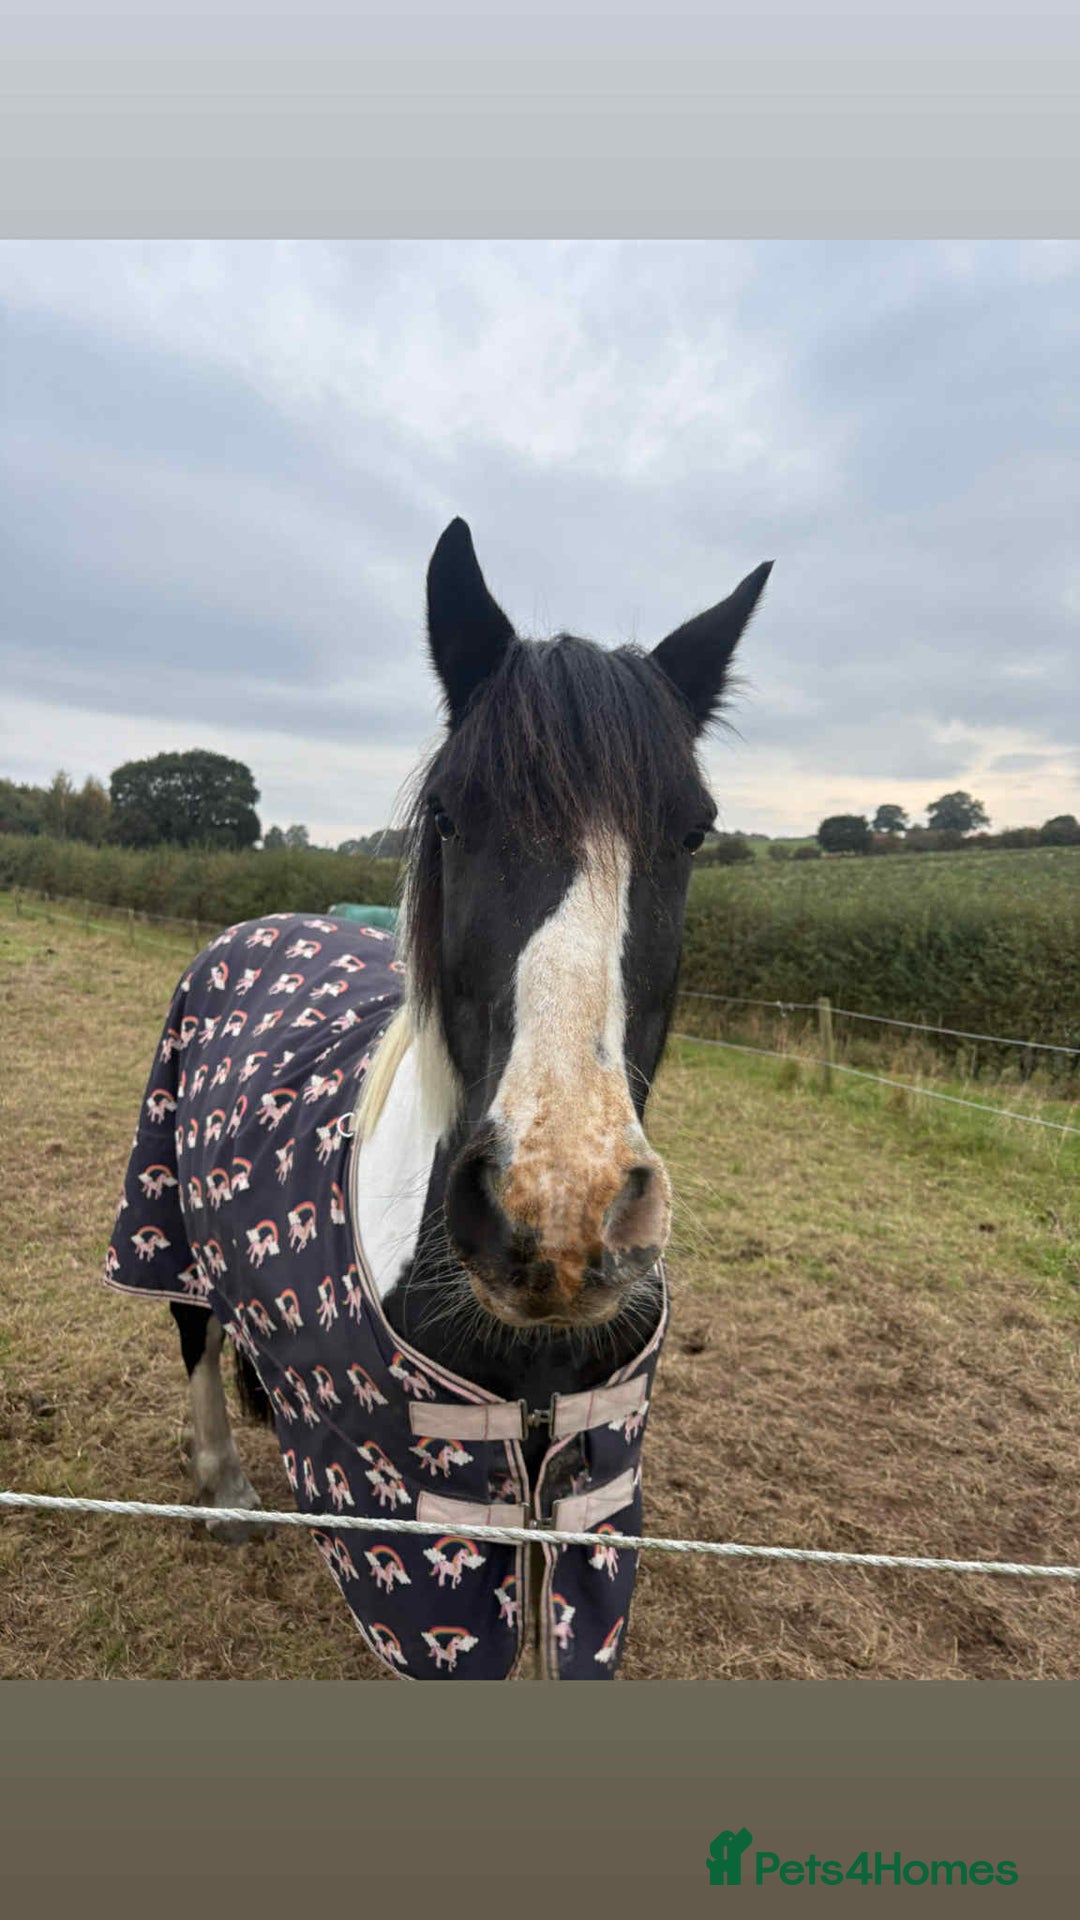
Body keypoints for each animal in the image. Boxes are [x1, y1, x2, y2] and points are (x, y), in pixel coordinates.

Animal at [104, 520, 772, 1678]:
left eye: (693, 832)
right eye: (452, 817)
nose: (559, 1216)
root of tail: (260, 922)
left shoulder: (586, 1505)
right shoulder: (431, 1549)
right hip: (168, 1226)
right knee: (196, 1334)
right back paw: (226, 1490)